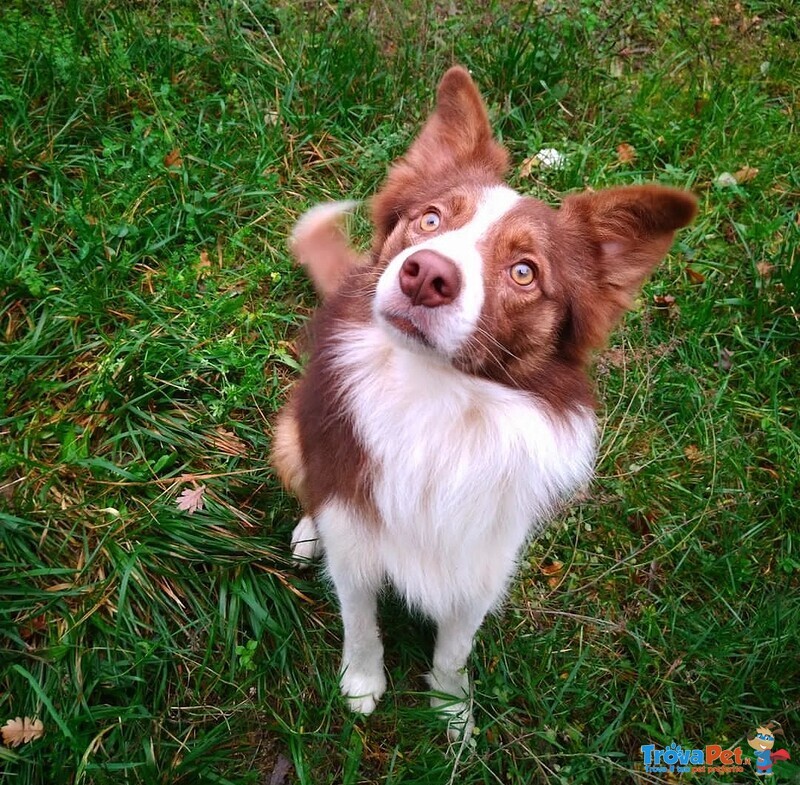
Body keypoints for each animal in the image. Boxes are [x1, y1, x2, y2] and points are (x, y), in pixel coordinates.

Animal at [272, 66, 696, 736]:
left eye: (524, 272)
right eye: (429, 220)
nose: (425, 274)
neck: (433, 406)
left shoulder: (482, 562)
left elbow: (454, 650)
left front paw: (452, 716)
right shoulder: (357, 542)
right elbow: (360, 621)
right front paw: (362, 686)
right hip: (291, 436)